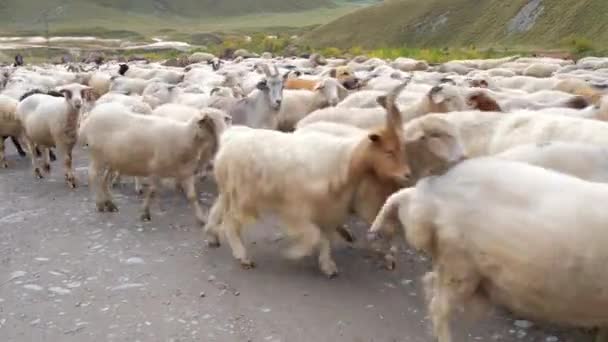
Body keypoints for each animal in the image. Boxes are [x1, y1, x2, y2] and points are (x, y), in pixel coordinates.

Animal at [78, 102, 220, 224]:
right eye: (209, 126)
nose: (218, 147)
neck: (184, 137)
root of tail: (92, 114)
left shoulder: (185, 173)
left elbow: (192, 196)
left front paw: (201, 218)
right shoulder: (155, 170)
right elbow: (152, 192)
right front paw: (145, 213)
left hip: (112, 160)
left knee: (104, 179)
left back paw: (110, 204)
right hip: (97, 156)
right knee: (93, 175)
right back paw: (100, 203)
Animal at [202, 83, 410, 278]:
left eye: (401, 149)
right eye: (389, 151)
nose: (407, 174)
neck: (343, 159)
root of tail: (230, 138)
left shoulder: (326, 209)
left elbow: (325, 238)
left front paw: (327, 265)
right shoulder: (298, 207)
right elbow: (314, 236)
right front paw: (296, 252)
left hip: (231, 193)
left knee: (221, 211)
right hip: (242, 196)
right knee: (230, 221)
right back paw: (242, 256)